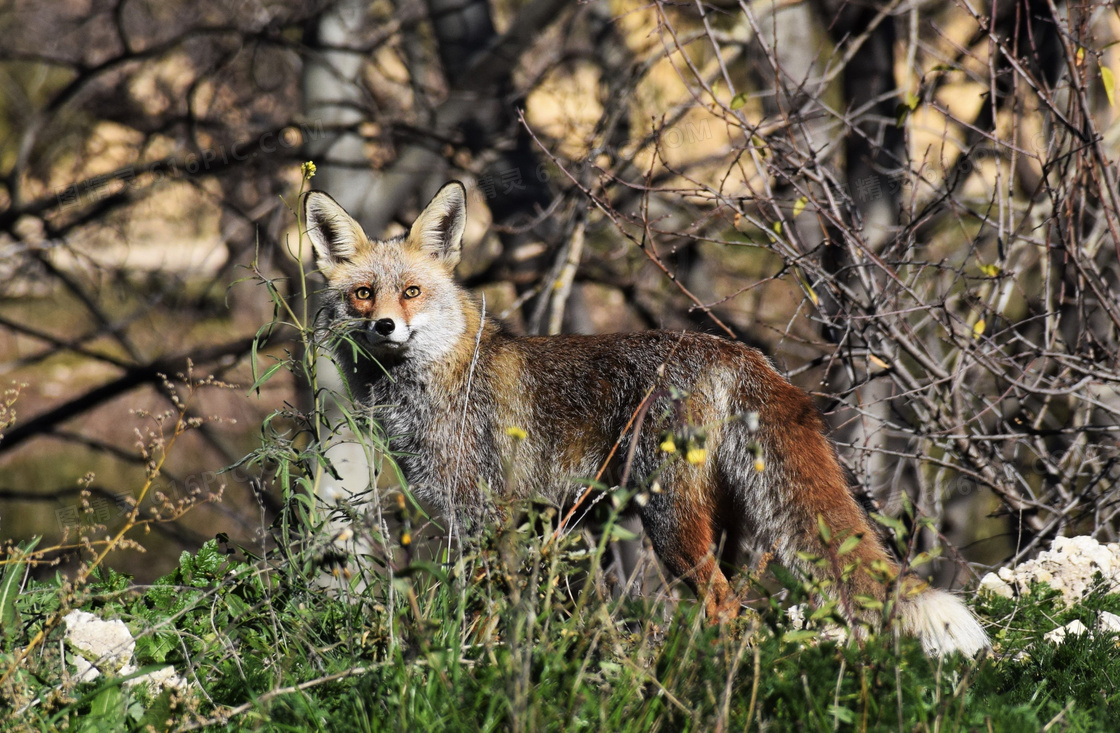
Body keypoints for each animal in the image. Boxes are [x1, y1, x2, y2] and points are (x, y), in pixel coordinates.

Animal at [304, 180, 990, 659]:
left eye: (412, 292)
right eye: (363, 294)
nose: (385, 327)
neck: (436, 381)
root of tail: (736, 351)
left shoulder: (484, 516)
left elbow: (483, 612)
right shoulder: (506, 520)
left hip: (668, 522)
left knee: (725, 609)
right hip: (724, 525)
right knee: (738, 602)